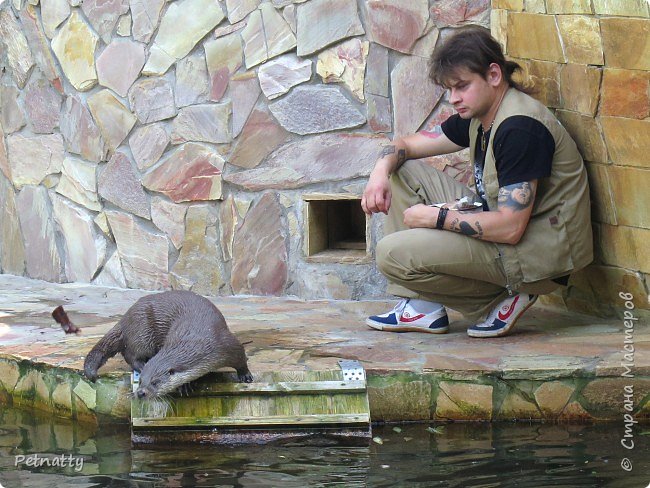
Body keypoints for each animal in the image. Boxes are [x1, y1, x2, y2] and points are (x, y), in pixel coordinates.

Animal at [81, 290, 253, 396]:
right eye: (141, 381)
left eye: (155, 382)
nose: (141, 392)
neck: (199, 340)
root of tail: (124, 319)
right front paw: (184, 385)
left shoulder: (226, 343)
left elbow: (241, 357)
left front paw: (245, 375)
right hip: (142, 333)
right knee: (130, 355)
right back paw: (141, 364)